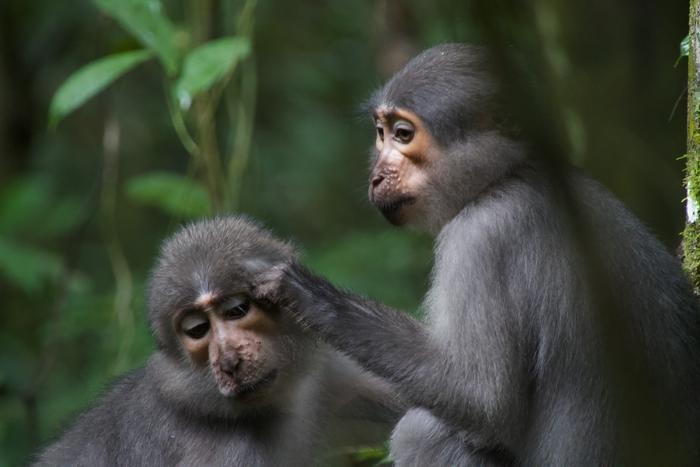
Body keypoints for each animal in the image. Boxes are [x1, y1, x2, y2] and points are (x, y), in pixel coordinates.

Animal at [253, 42, 700, 466]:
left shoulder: (478, 239)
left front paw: (312, 297)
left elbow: (483, 400)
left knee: (420, 431)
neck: (508, 177)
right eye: (381, 132)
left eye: (403, 134)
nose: (376, 175)